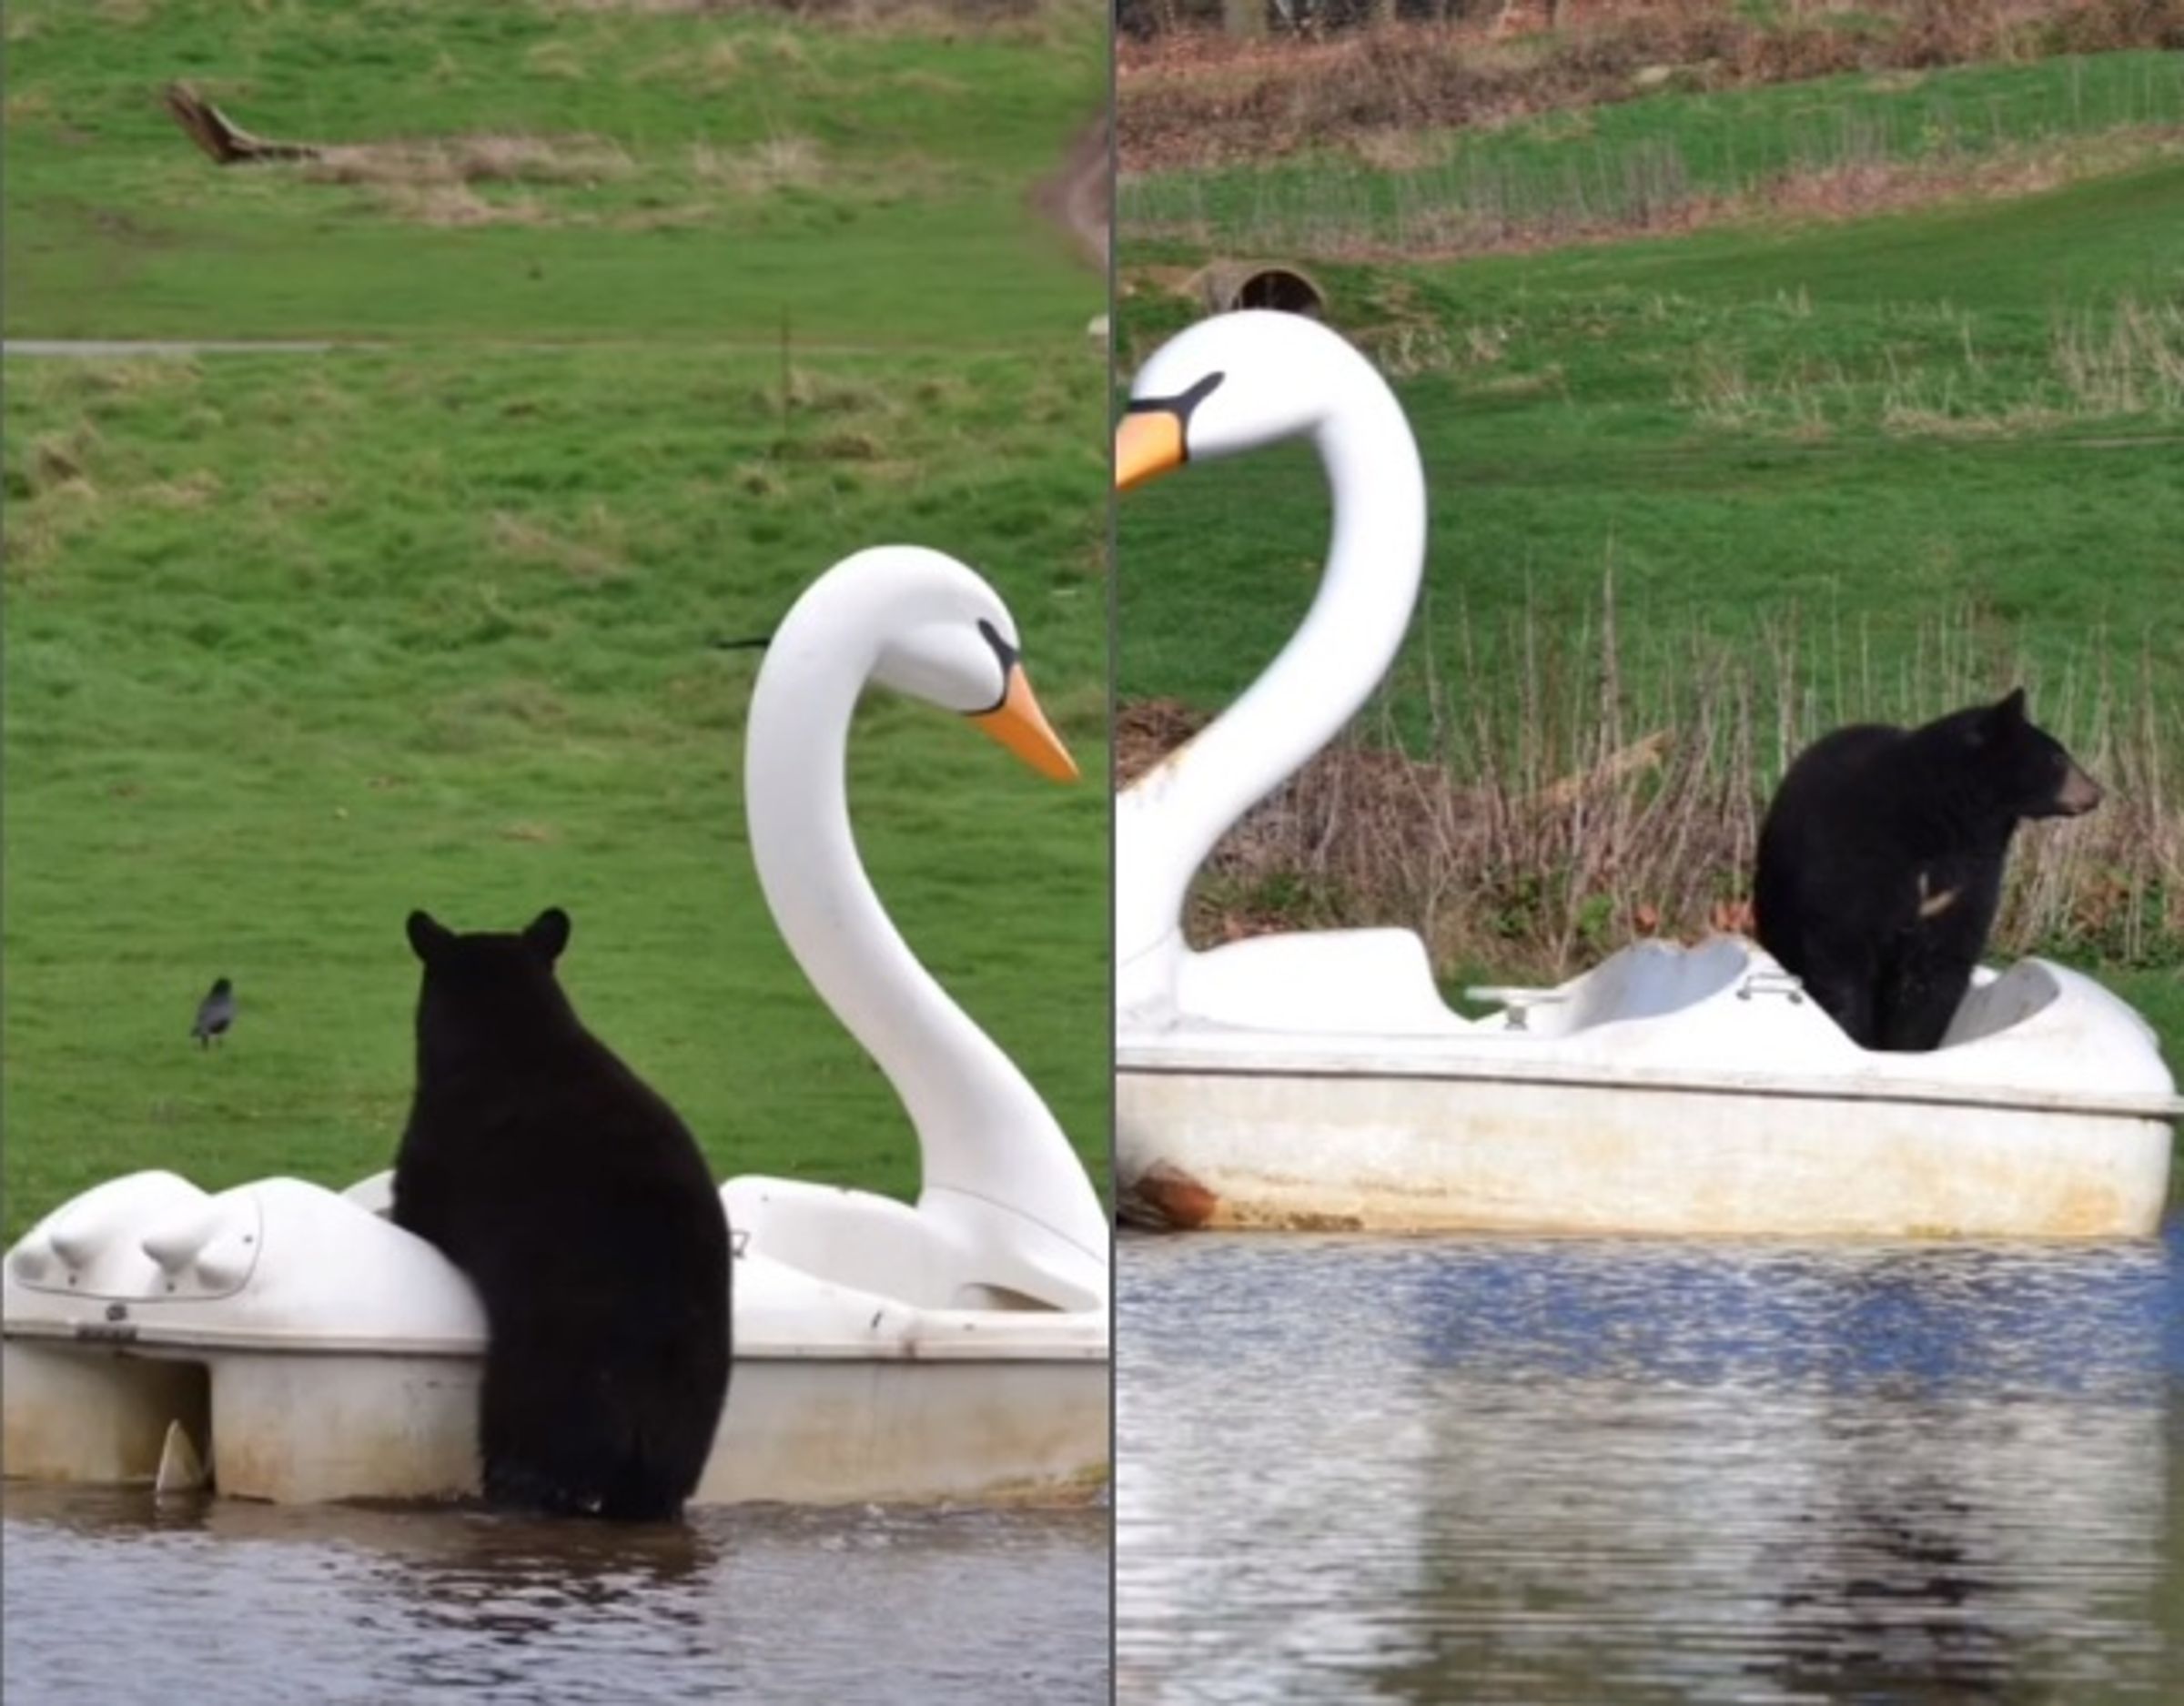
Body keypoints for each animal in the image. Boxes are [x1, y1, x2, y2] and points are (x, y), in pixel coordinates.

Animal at [391, 906, 731, 1521]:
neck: (508, 1037)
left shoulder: (436, 1156)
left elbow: (414, 1214)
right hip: (691, 1419)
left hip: (550, 1390)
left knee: (527, 1461)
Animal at [1752, 688, 2101, 1053]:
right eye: (2057, 758)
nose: (2098, 792)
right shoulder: (1850, 863)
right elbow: (1842, 955)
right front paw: (1855, 1036)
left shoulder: (1965, 883)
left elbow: (1938, 971)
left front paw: (1909, 1047)